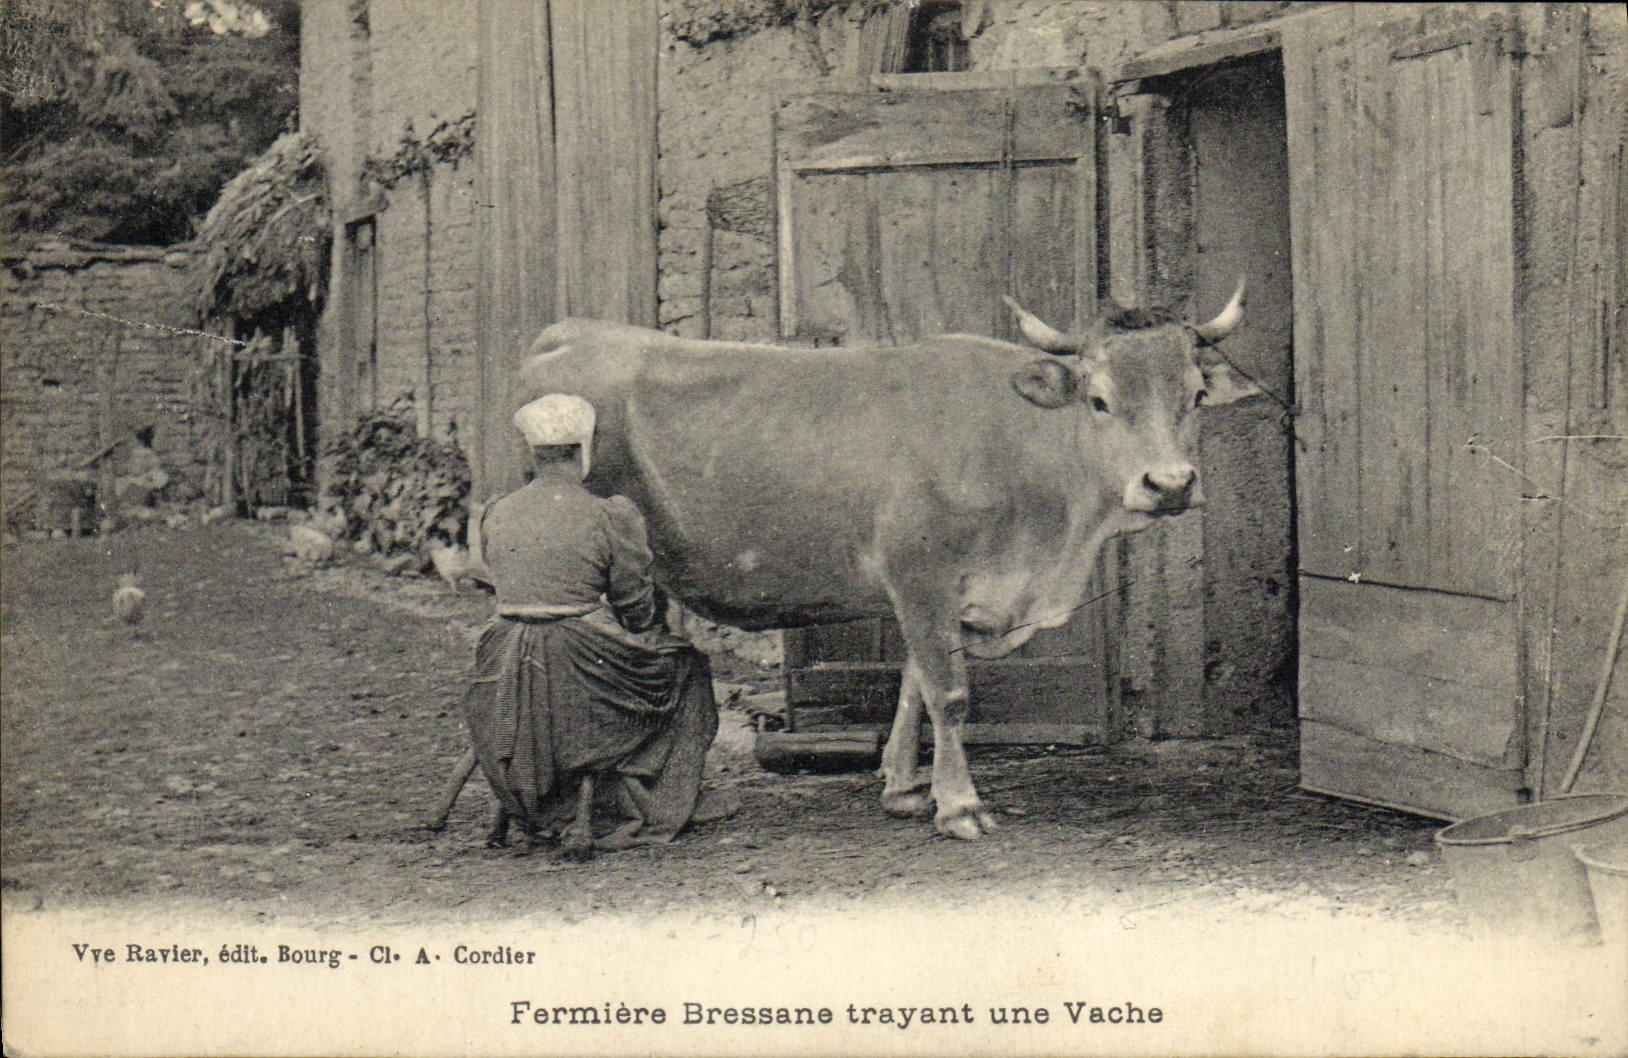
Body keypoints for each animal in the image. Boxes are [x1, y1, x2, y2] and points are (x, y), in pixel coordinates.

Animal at [513, 281, 1257, 840]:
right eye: (1099, 400)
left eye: (1194, 395)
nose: (1170, 484)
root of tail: (566, 333)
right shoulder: (920, 573)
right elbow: (949, 694)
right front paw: (960, 807)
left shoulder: (933, 592)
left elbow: (912, 686)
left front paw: (903, 788)